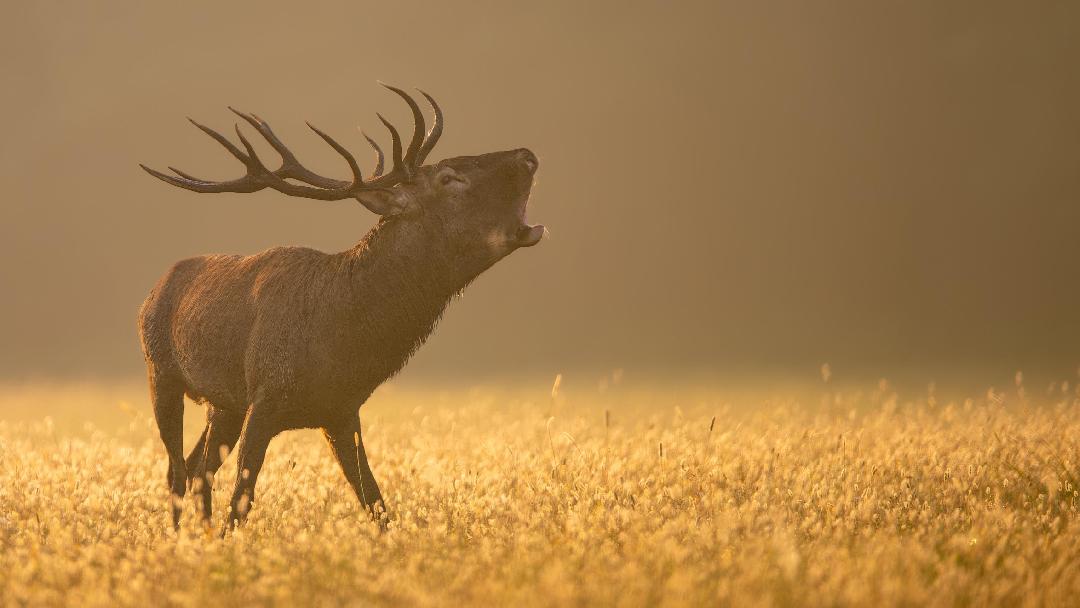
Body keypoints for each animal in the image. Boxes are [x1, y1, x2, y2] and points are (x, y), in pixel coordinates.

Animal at [137, 84, 540, 533]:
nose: (527, 155)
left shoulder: (341, 413)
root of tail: (152, 290)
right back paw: (179, 538)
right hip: (162, 374)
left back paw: (199, 536)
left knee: (197, 469)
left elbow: (377, 506)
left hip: (223, 404)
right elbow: (241, 502)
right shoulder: (266, 397)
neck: (342, 338)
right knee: (176, 470)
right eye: (449, 177)